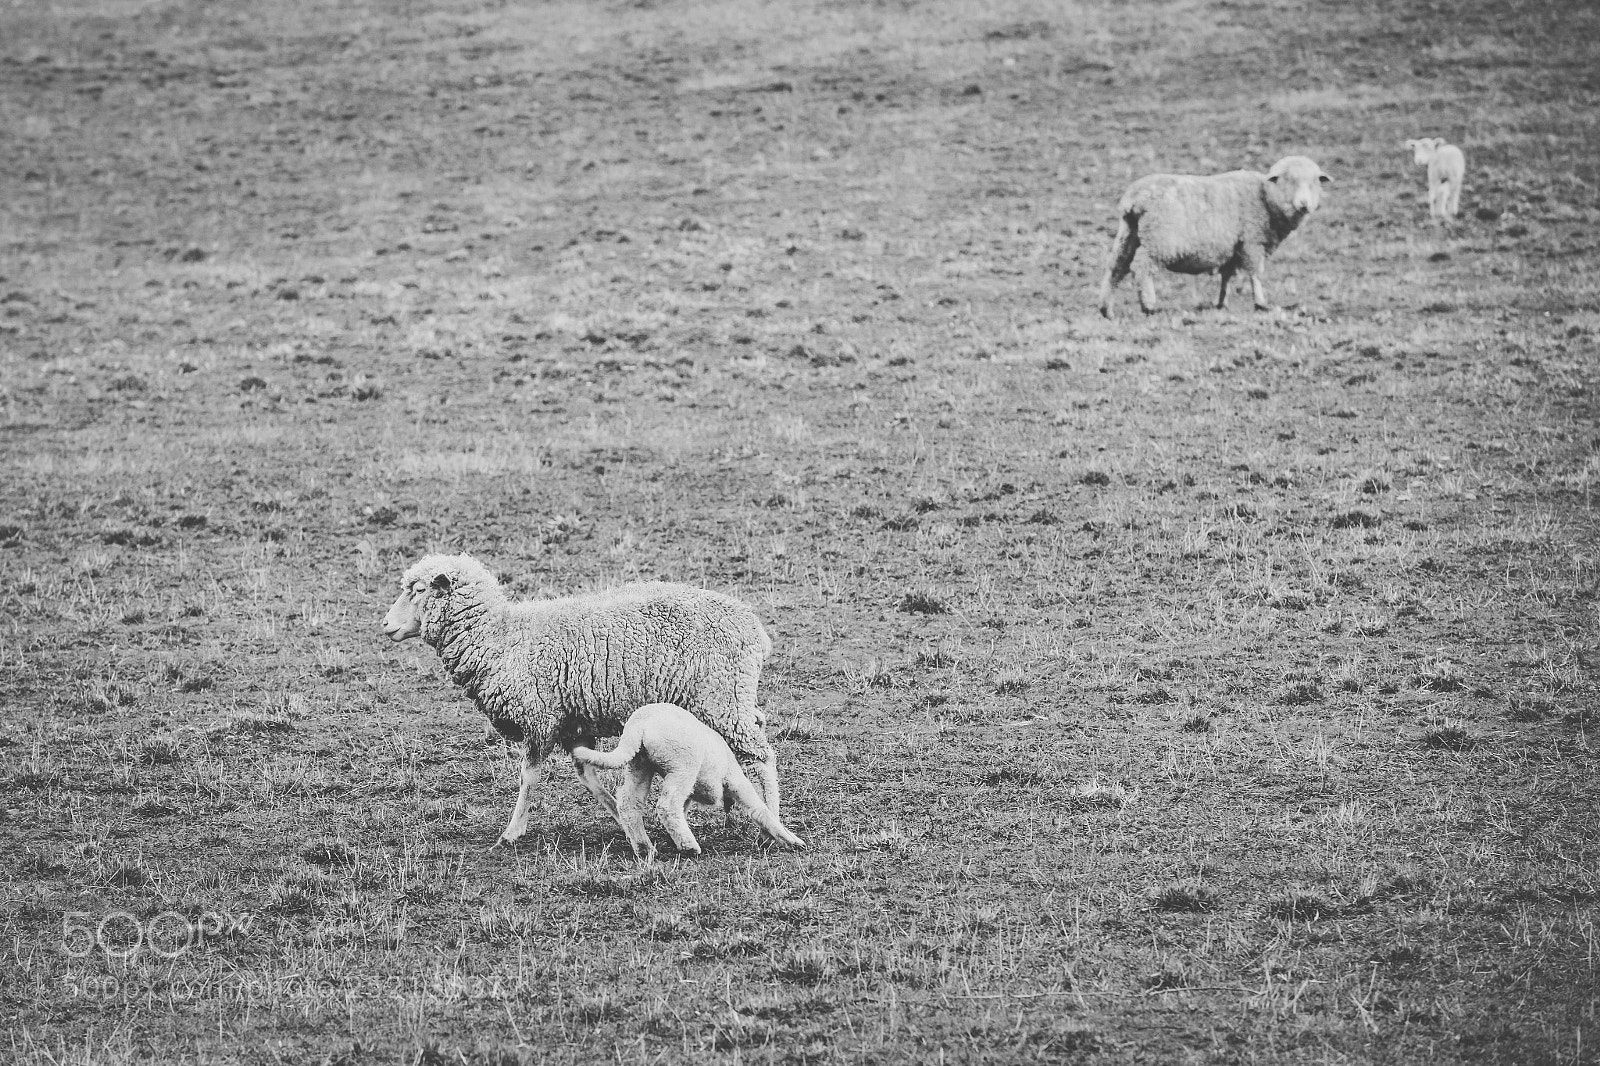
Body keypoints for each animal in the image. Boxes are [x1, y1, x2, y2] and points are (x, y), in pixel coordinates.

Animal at [382, 552, 780, 846]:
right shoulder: (572, 724)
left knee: (762, 756)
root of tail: (754, 627)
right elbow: (589, 776)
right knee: (758, 731)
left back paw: (772, 820)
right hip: (733, 697)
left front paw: (511, 833)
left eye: (418, 589)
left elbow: (529, 777)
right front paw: (625, 822)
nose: (385, 625)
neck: (503, 638)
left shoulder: (540, 719)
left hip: (721, 699)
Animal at [572, 702, 806, 862]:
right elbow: (760, 810)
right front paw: (793, 841)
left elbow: (683, 809)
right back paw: (689, 847)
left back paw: (644, 847)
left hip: (640, 763)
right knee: (666, 805)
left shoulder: (692, 793)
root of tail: (639, 725)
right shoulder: (736, 781)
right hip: (682, 766)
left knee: (630, 803)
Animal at [1098, 155, 1331, 318]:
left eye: (1314, 182)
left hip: (1129, 234)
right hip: (1159, 241)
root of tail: (1133, 198)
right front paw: (1261, 303)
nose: (1304, 205)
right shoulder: (1252, 242)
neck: (1265, 197)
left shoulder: (1232, 249)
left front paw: (1221, 303)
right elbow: (1255, 274)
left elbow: (1227, 276)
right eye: (1288, 180)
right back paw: (1148, 305)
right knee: (1141, 267)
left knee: (1116, 267)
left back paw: (1106, 309)